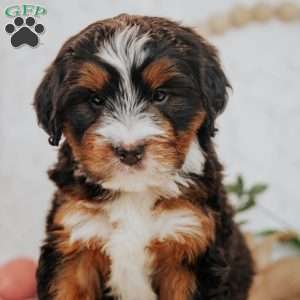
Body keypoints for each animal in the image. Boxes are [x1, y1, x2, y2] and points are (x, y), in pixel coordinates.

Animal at [34, 14, 253, 300]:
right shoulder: (75, 240)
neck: (134, 193)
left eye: (160, 95)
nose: (129, 150)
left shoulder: (192, 243)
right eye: (96, 100)